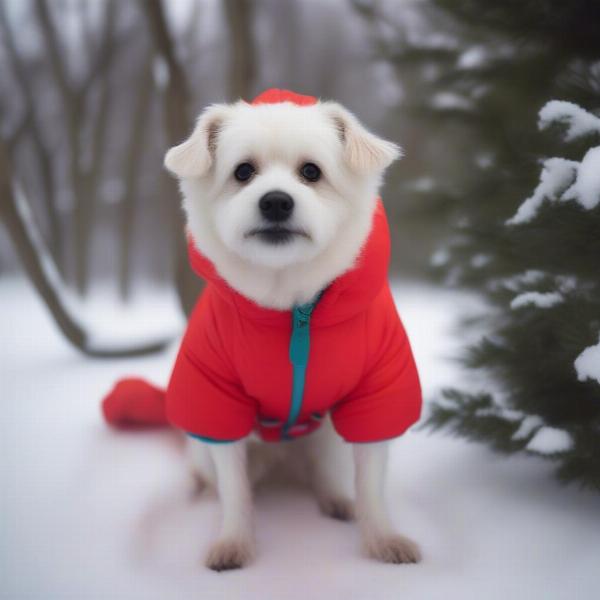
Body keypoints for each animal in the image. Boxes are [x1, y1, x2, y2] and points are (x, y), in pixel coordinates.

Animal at [103, 89, 422, 572]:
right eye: (243, 171)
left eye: (311, 171)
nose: (275, 201)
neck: (290, 305)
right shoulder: (216, 401)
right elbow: (235, 490)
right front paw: (234, 541)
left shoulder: (376, 392)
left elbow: (371, 483)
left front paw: (383, 539)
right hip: (201, 442)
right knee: (211, 473)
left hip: (326, 436)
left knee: (324, 472)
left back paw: (335, 499)